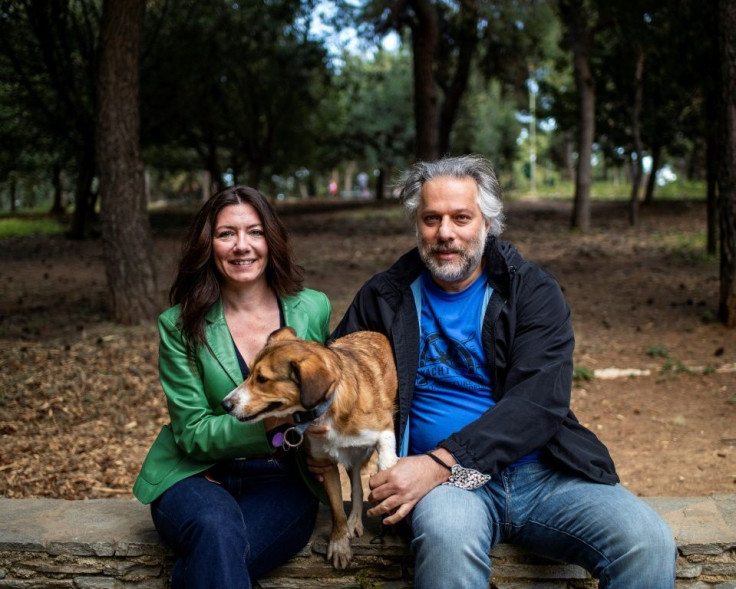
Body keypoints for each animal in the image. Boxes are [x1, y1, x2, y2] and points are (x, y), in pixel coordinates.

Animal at [221, 326, 400, 568]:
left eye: (262, 379)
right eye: (249, 375)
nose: (225, 404)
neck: (325, 410)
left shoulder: (384, 428)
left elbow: (386, 457)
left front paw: (388, 475)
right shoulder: (325, 464)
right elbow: (337, 510)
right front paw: (339, 543)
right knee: (356, 487)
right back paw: (353, 520)